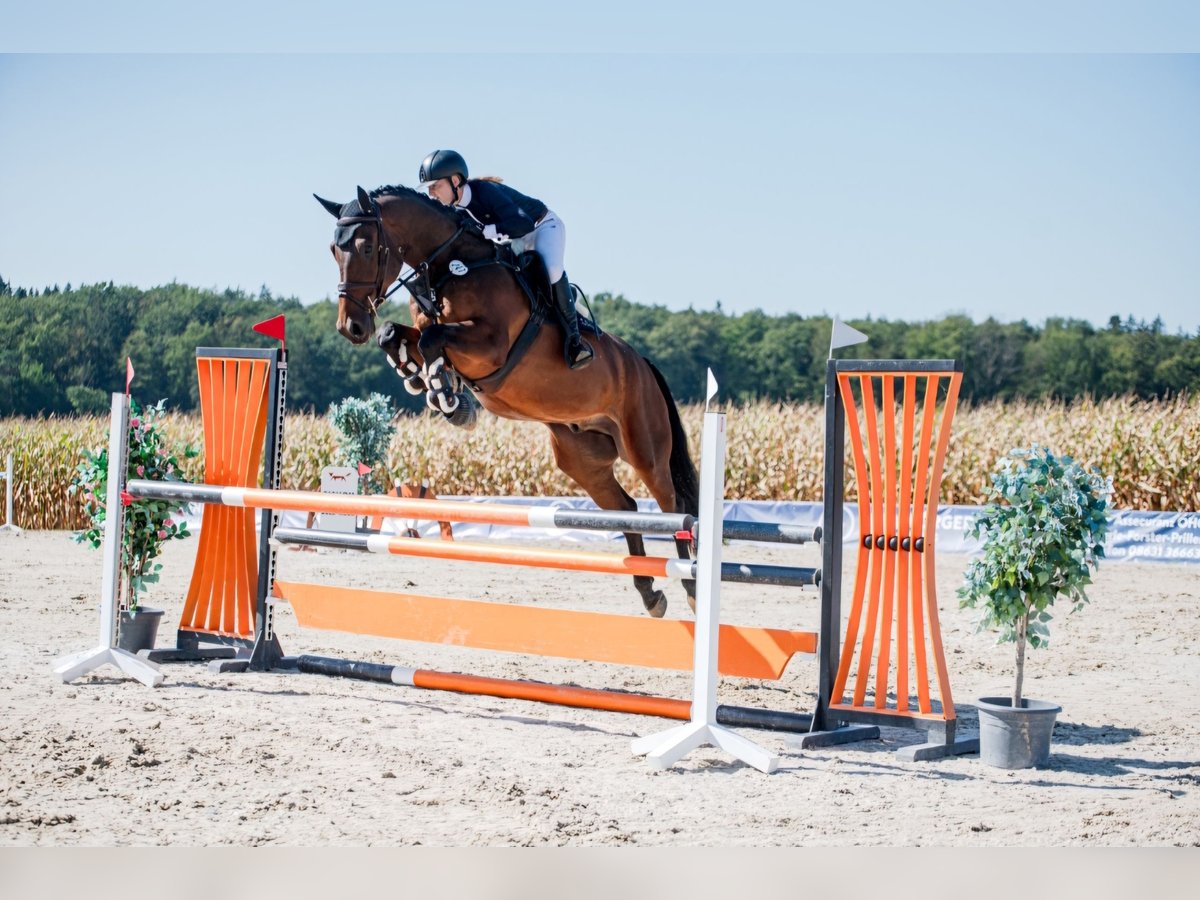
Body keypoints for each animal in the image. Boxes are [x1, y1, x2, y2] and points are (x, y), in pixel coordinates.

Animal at [314, 183, 700, 619]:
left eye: (365, 247)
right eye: (334, 249)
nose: (350, 327)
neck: (448, 266)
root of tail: (643, 365)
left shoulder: (490, 345)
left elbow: (432, 340)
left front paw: (447, 396)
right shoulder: (436, 333)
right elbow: (399, 335)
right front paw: (423, 380)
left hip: (645, 448)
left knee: (671, 507)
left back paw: (690, 587)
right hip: (581, 458)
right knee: (626, 507)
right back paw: (650, 593)